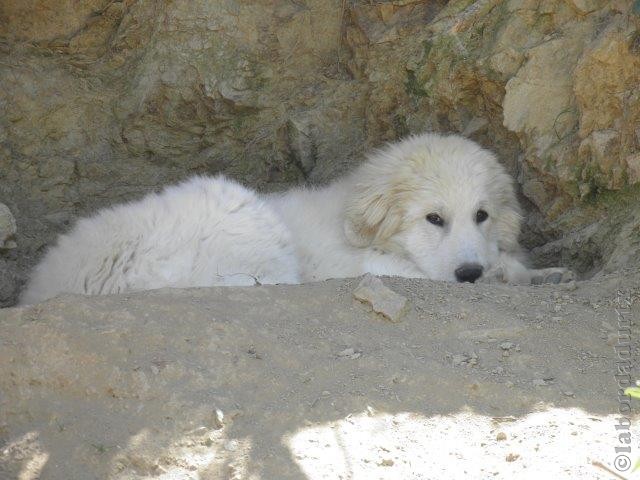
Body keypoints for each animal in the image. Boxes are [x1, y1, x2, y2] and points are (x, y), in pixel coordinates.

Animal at [20, 132, 572, 304]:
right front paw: (508, 274)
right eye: (433, 219)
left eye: (482, 215)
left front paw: (543, 272)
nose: (469, 273)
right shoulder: (356, 265)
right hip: (238, 207)